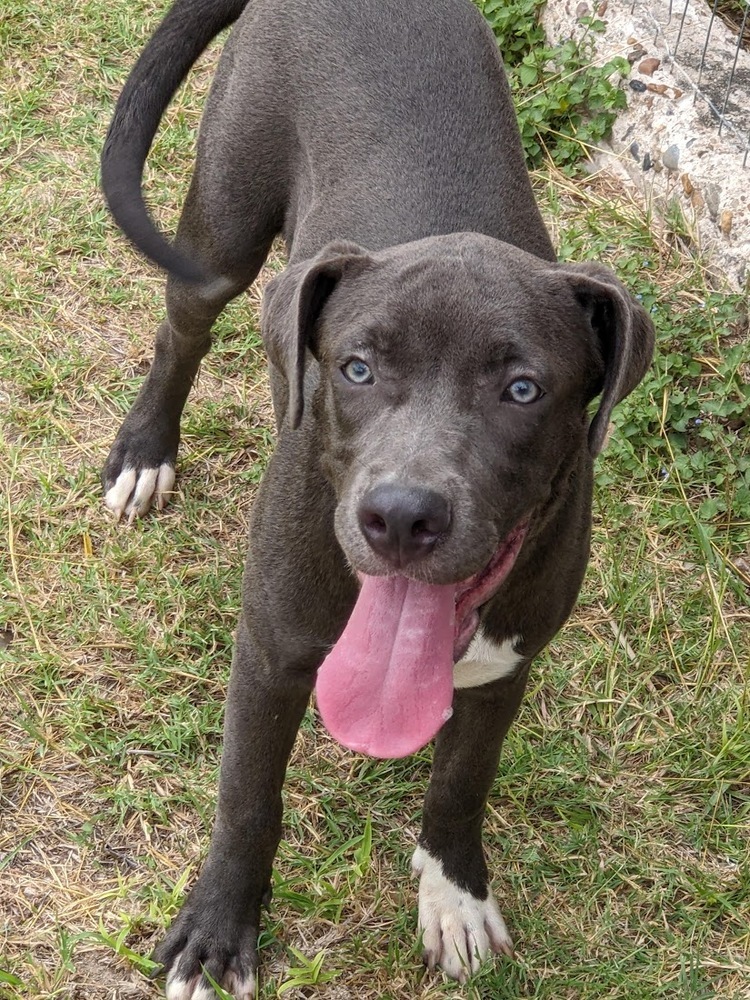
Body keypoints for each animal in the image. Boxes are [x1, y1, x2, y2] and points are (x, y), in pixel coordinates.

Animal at [101, 1, 656, 992]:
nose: (401, 515)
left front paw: (455, 896)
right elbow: (248, 797)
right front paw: (217, 930)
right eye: (357, 368)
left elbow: (461, 786)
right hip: (223, 231)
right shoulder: (271, 648)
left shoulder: (505, 667)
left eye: (523, 389)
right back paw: (145, 452)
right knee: (183, 329)